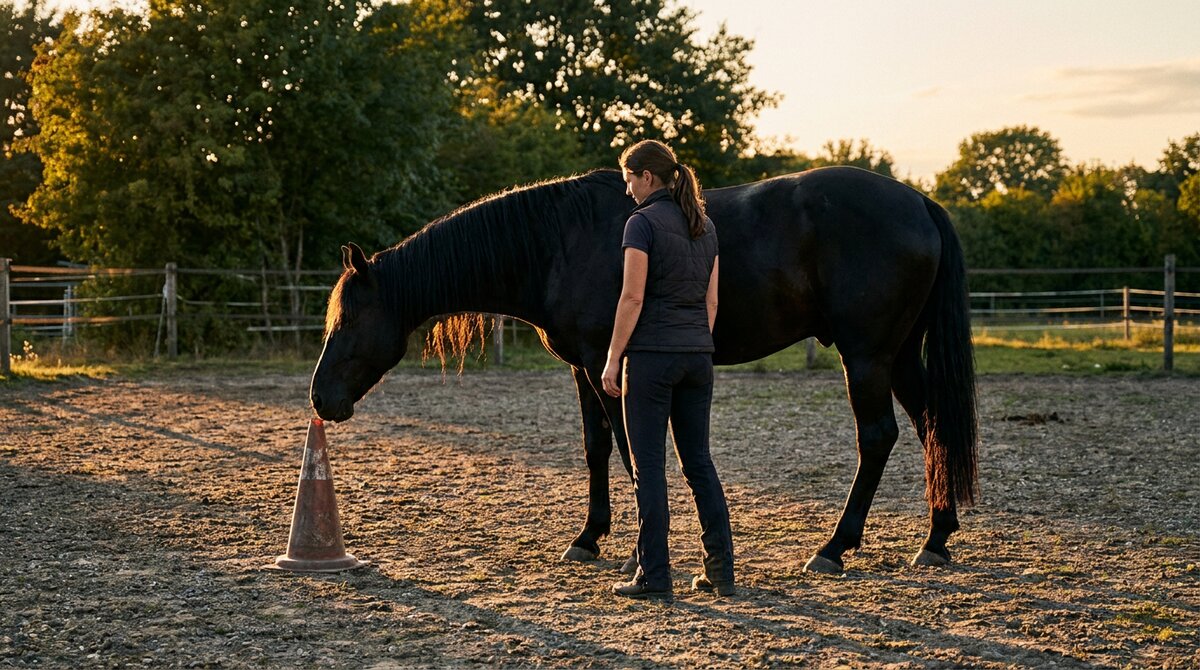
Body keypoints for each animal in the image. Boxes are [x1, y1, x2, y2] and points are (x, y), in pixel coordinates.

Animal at [309, 166, 978, 574]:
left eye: (347, 320)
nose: (319, 399)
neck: (559, 242)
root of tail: (919, 201)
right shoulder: (585, 366)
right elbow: (597, 448)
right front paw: (588, 538)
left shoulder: (612, 363)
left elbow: (633, 451)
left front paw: (636, 555)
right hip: (899, 356)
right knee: (931, 429)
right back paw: (934, 540)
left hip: (866, 356)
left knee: (879, 438)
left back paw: (834, 549)